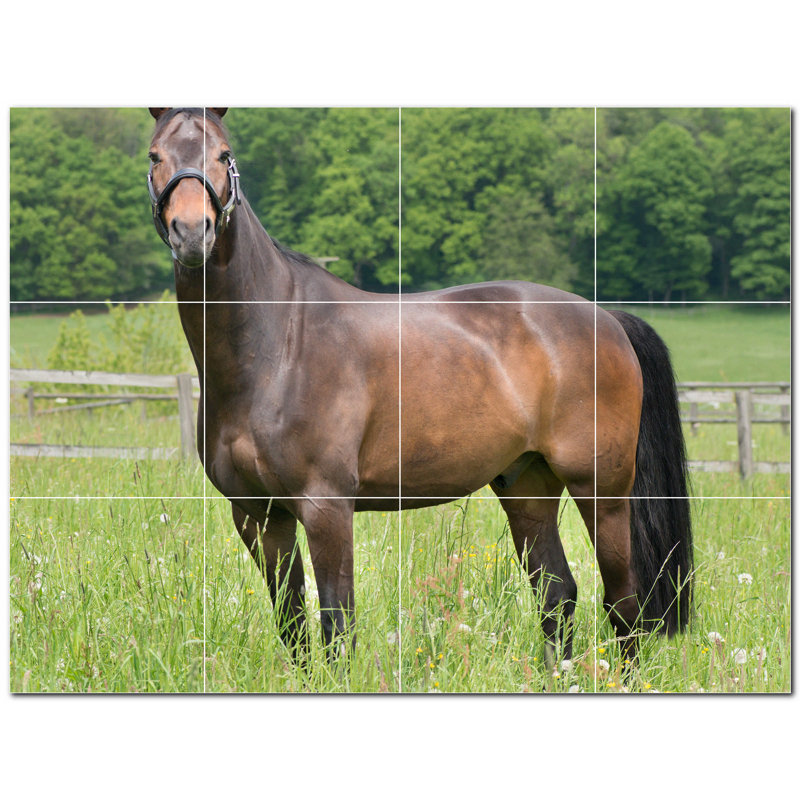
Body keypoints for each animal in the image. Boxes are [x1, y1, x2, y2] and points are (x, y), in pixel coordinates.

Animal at [147, 107, 693, 670]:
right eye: (155, 155)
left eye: (224, 155)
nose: (192, 232)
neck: (277, 346)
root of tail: (607, 319)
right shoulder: (258, 515)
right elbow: (293, 625)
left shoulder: (326, 507)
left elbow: (337, 625)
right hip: (526, 487)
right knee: (557, 594)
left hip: (601, 490)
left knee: (623, 603)